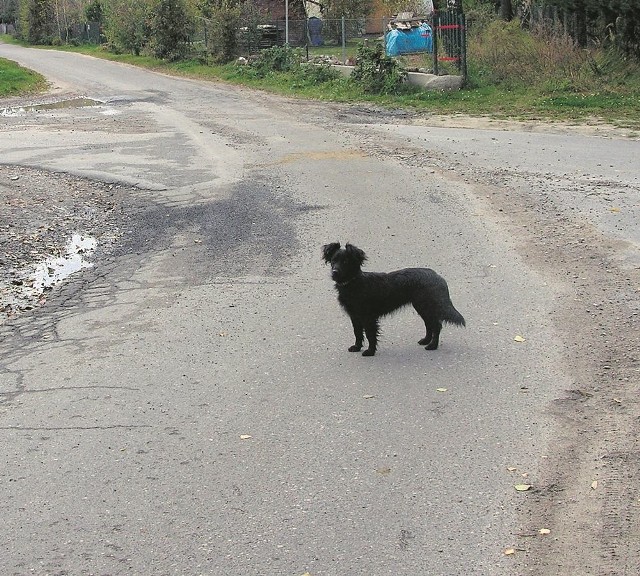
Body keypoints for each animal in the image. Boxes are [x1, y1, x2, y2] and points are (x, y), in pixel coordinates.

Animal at [320, 242, 464, 356]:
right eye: (333, 260)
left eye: (345, 261)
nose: (334, 272)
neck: (354, 283)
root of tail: (438, 277)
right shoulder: (355, 316)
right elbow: (358, 333)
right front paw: (357, 347)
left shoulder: (368, 317)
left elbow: (370, 334)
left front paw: (370, 351)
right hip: (421, 306)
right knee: (429, 324)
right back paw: (425, 341)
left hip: (426, 305)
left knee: (437, 325)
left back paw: (432, 346)